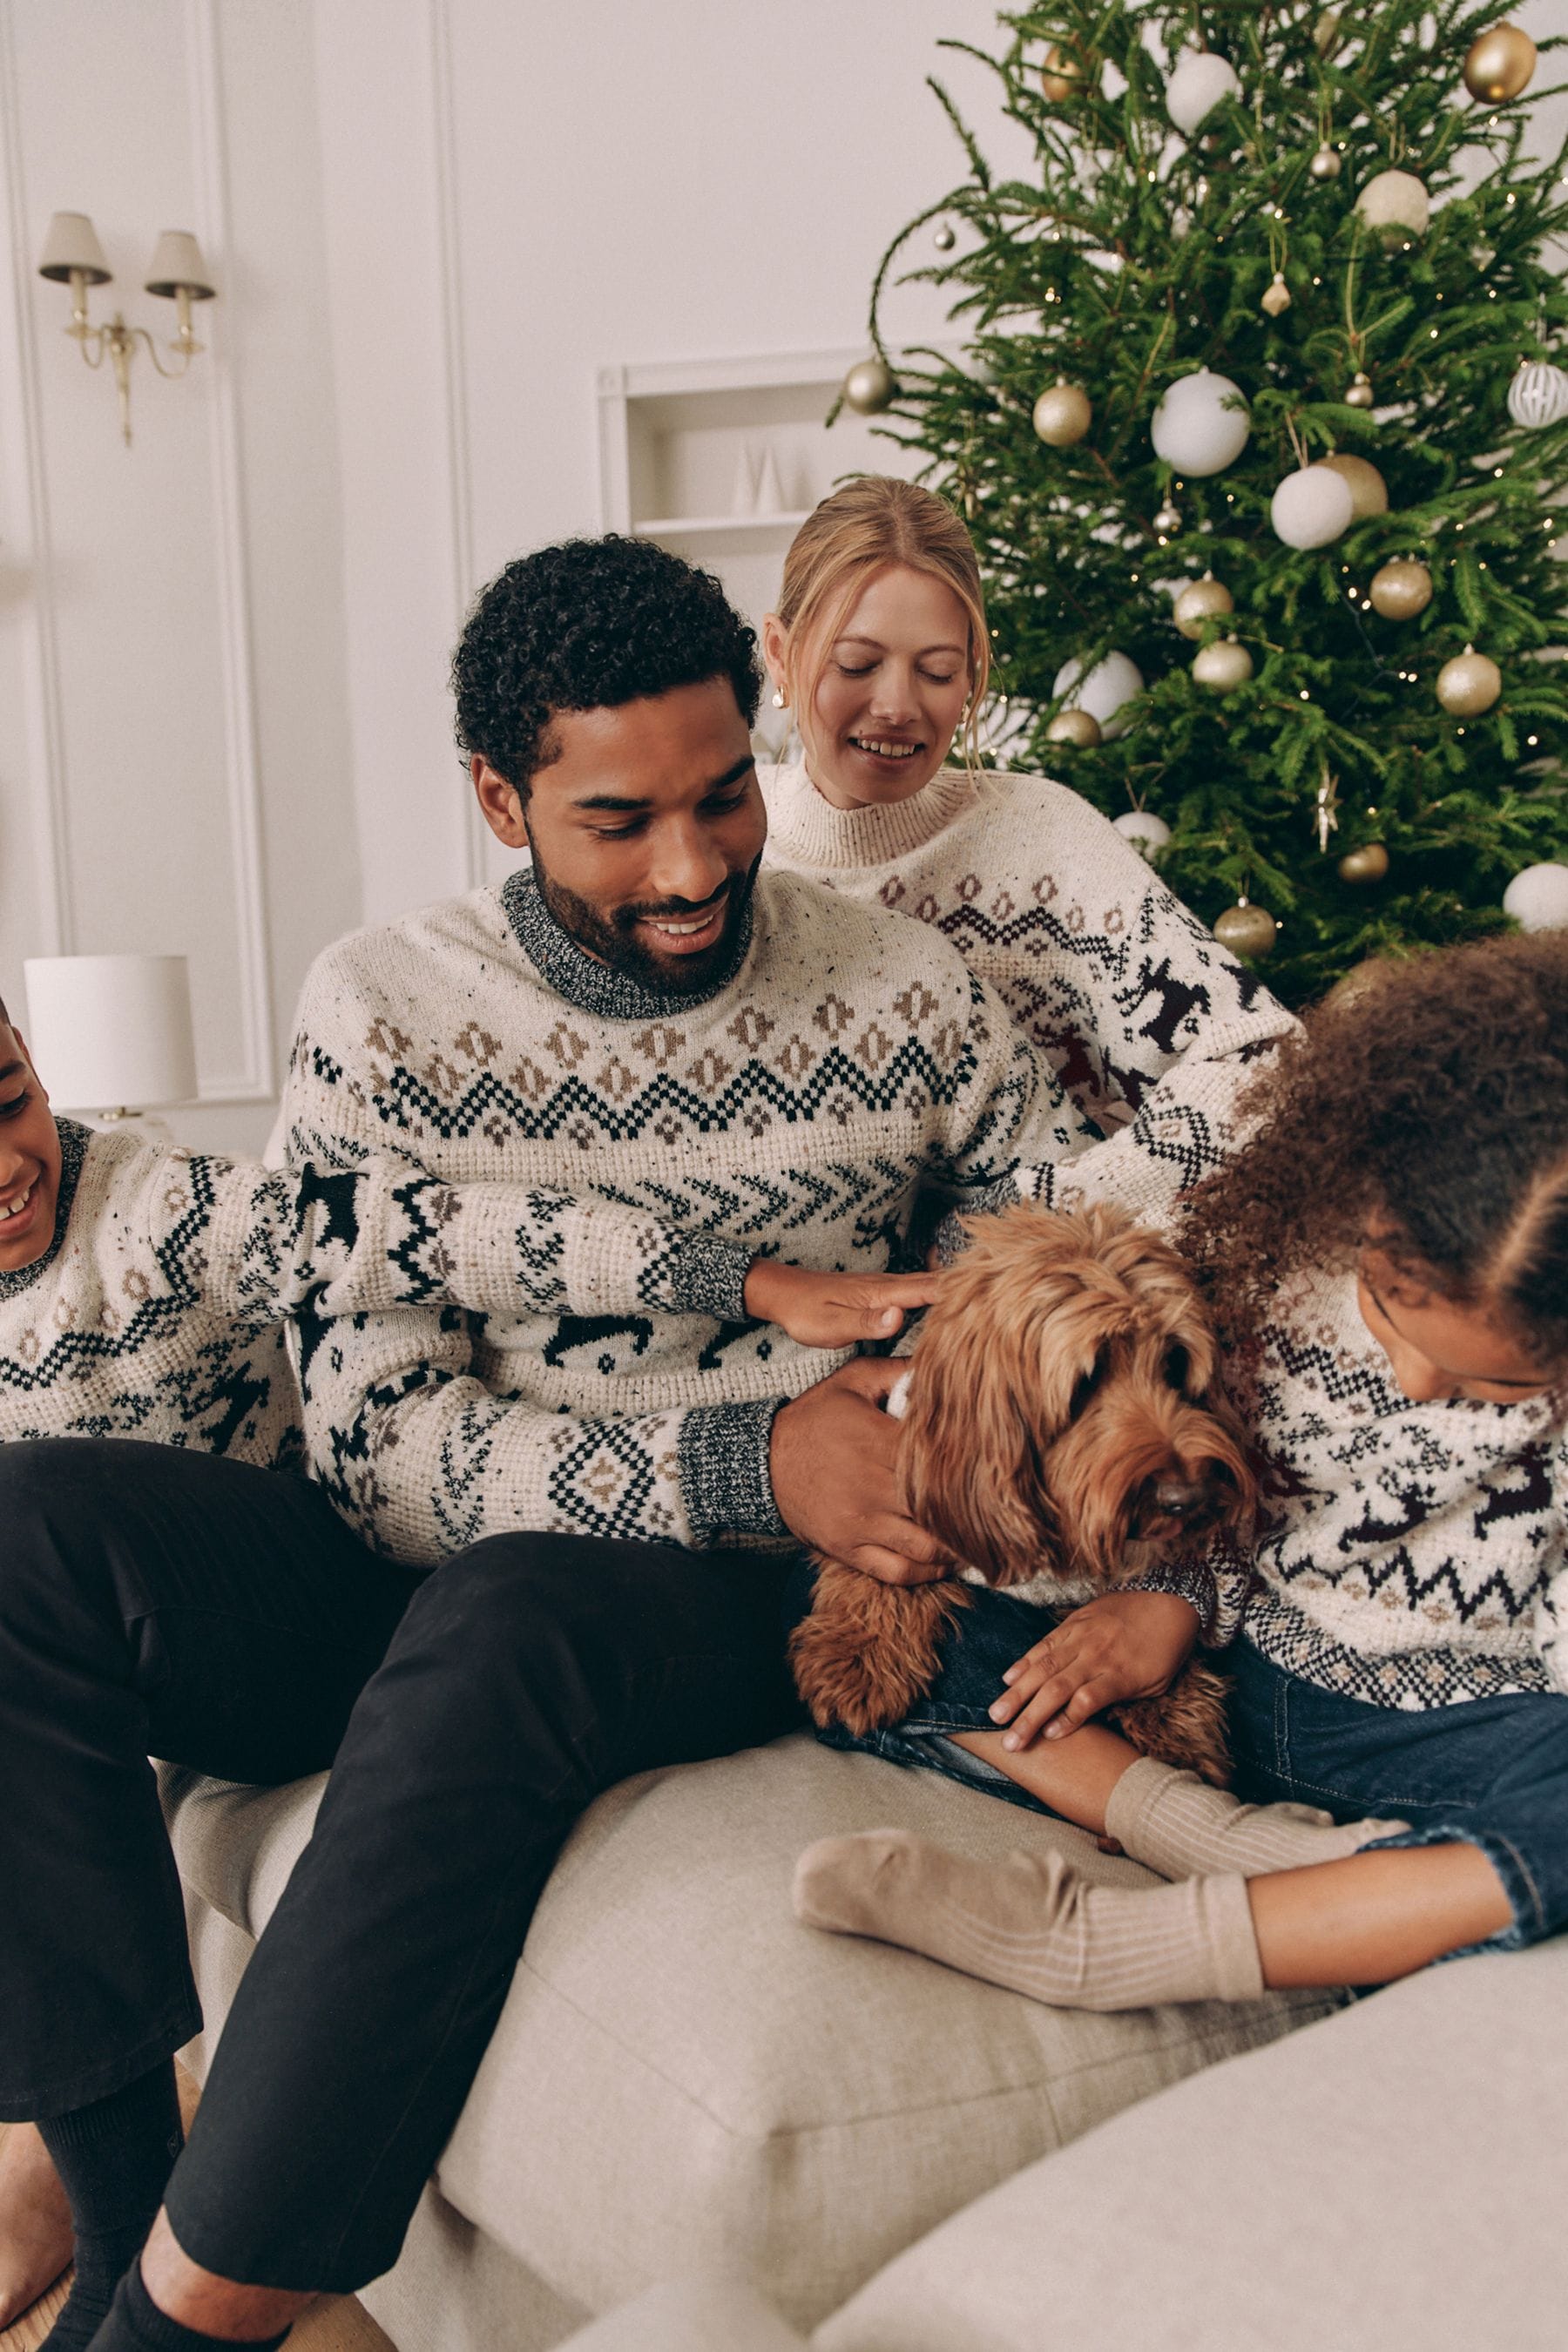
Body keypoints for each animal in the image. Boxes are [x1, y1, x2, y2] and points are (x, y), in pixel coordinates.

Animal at [789, 1213, 1260, 1778]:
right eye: (1086, 1380)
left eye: (1173, 1364)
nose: (1187, 1497)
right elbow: (878, 1571)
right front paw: (859, 1656)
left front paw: (1174, 1720)